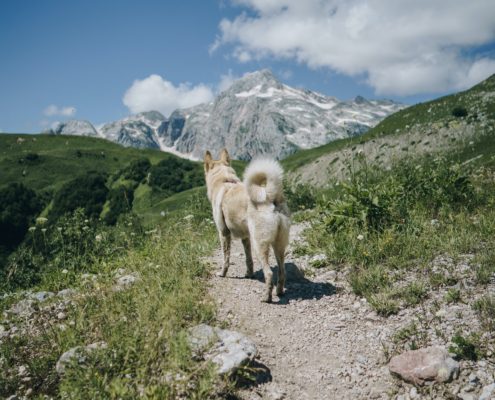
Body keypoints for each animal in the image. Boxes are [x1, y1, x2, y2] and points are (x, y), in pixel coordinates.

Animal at [204, 150, 290, 304]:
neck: (225, 180)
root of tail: (270, 196)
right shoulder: (245, 237)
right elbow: (248, 259)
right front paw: (249, 274)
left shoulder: (223, 233)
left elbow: (226, 258)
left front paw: (222, 273)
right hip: (279, 246)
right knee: (282, 271)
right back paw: (279, 292)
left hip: (259, 245)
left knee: (269, 273)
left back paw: (266, 297)